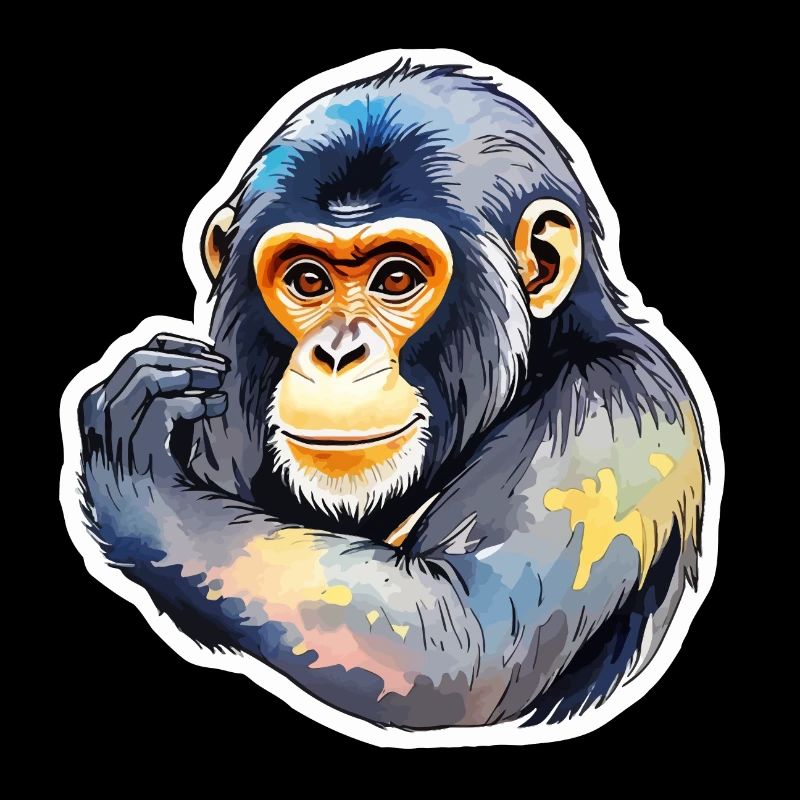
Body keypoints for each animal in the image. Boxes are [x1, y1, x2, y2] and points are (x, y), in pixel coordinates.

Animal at [69, 56, 714, 736]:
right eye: (308, 280)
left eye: (397, 277)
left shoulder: (613, 418)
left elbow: (461, 637)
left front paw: (135, 457)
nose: (336, 353)